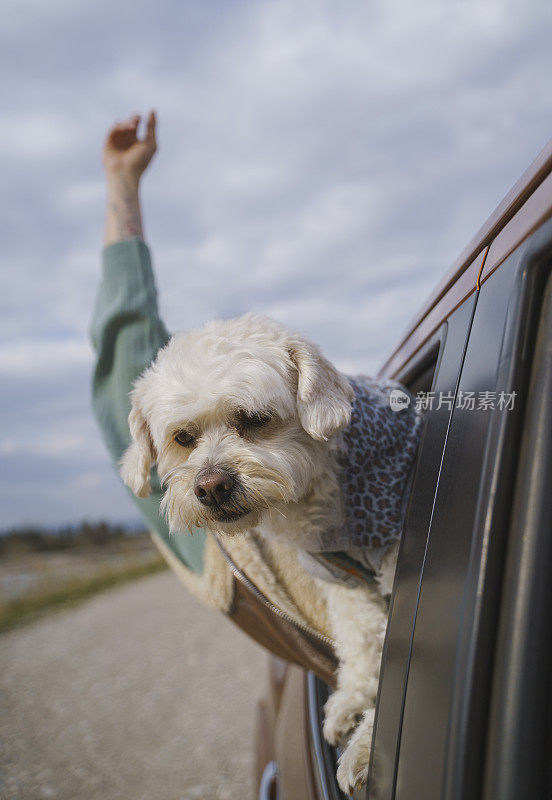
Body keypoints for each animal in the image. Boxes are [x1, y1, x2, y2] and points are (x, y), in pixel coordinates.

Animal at [121, 314, 414, 792]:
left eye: (253, 419)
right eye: (183, 437)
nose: (210, 486)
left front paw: (371, 745)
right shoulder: (342, 578)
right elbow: (361, 637)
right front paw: (354, 697)